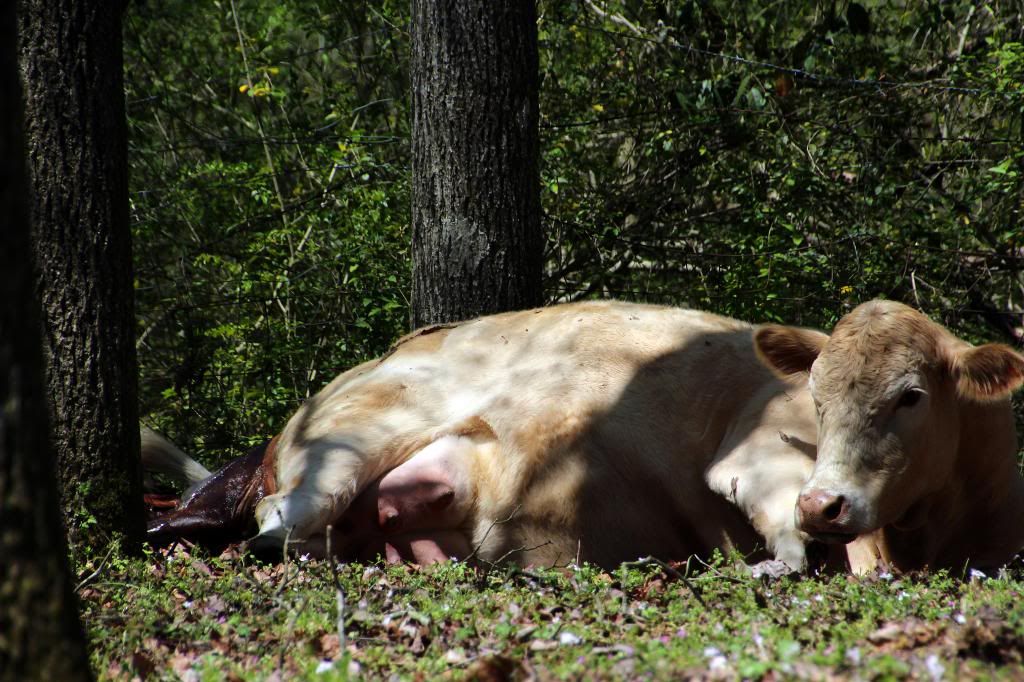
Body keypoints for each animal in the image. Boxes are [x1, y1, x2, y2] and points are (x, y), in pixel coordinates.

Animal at [145, 300, 1024, 574]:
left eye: (912, 396)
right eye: (815, 393)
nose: (827, 504)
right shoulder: (754, 447)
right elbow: (790, 545)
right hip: (338, 452)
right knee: (269, 537)